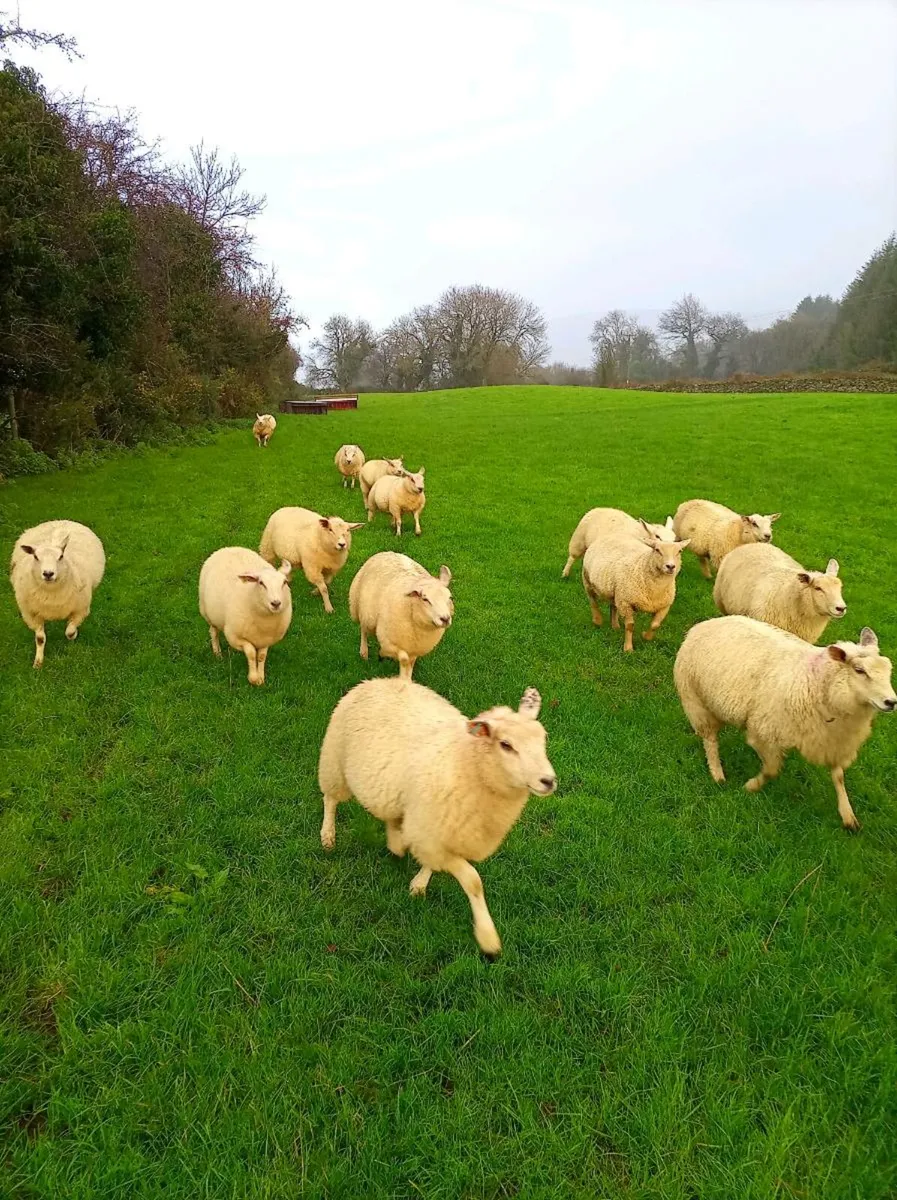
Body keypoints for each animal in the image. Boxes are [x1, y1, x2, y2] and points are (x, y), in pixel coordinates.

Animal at [10, 520, 106, 668]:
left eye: (61, 556)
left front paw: (74, 636)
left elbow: (69, 632)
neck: (51, 594)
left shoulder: (80, 609)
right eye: (35, 557)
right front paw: (38, 663)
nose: (48, 573)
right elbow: (40, 638)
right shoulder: (32, 613)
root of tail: (59, 520)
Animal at [199, 547, 292, 685]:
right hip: (208, 614)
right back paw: (217, 653)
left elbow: (261, 656)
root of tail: (229, 548)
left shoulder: (266, 639)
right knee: (213, 632)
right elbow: (251, 653)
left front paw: (261, 678)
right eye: (261, 583)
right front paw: (253, 678)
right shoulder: (235, 637)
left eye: (284, 582)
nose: (276, 603)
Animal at [318, 679, 557, 955]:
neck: (467, 764)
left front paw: (419, 884)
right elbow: (473, 881)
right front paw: (488, 938)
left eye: (543, 739)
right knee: (330, 799)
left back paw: (395, 841)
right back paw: (328, 836)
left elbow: (432, 864)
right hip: (334, 760)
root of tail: (385, 680)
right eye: (506, 745)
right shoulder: (431, 833)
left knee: (392, 815)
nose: (548, 781)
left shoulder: (437, 830)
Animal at [674, 616, 895, 830]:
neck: (818, 683)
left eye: (888, 670)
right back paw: (717, 773)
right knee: (710, 739)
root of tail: (704, 624)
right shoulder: (764, 733)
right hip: (695, 701)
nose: (891, 702)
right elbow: (772, 770)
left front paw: (848, 816)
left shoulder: (833, 739)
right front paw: (751, 786)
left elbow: (839, 776)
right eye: (859, 670)